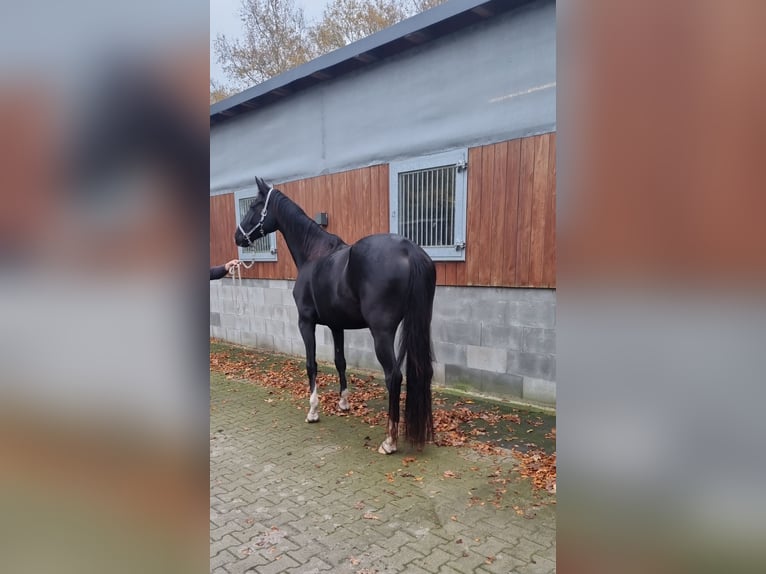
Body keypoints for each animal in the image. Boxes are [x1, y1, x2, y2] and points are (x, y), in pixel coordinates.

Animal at [234, 176, 438, 454]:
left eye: (255, 206)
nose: (237, 237)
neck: (313, 253)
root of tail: (410, 250)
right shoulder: (336, 325)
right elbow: (340, 361)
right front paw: (344, 403)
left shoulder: (305, 322)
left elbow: (311, 364)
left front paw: (313, 411)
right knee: (422, 371)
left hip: (381, 333)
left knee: (394, 376)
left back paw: (389, 440)